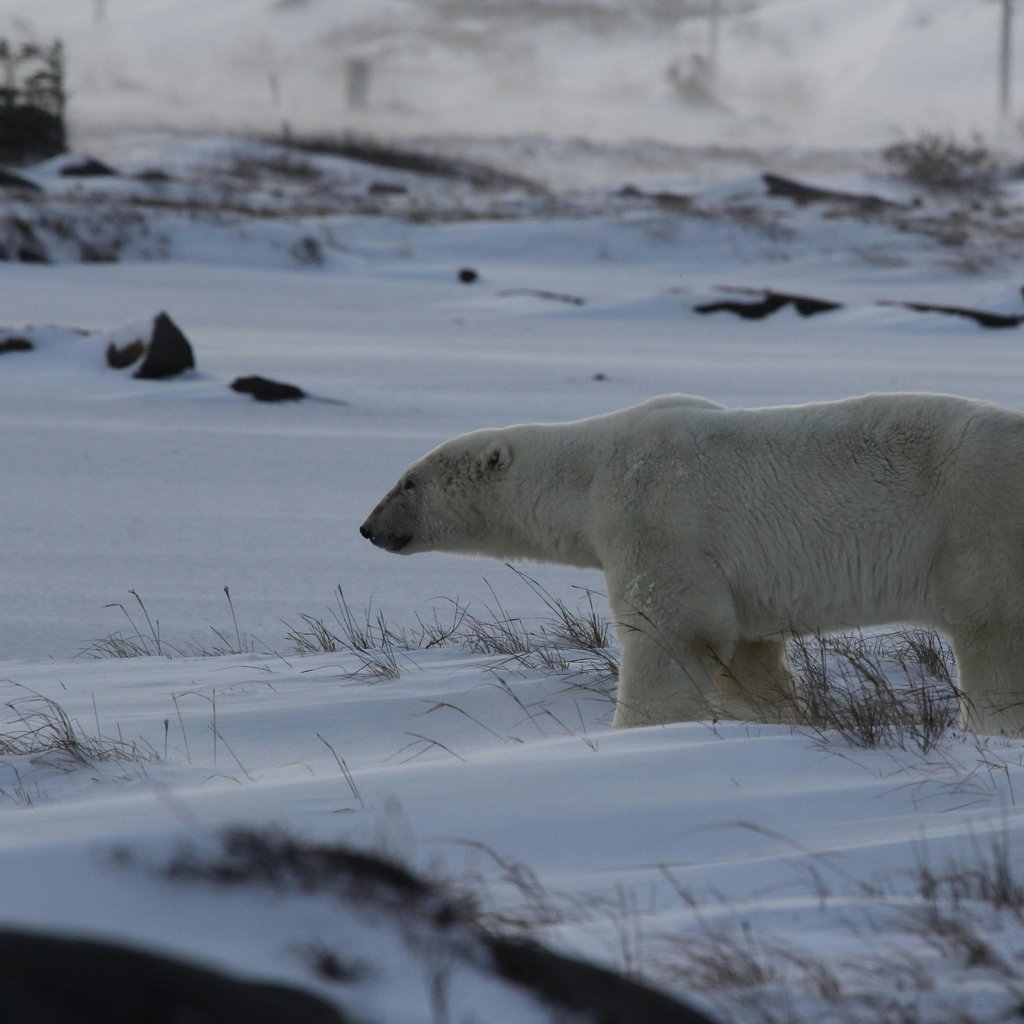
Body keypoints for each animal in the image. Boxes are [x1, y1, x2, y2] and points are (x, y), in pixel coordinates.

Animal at [360, 393, 1024, 735]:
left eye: (409, 482)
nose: (368, 528)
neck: (588, 474)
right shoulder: (745, 582)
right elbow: (750, 657)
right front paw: (774, 719)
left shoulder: (653, 517)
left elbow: (671, 630)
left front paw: (636, 732)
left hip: (979, 520)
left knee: (992, 633)